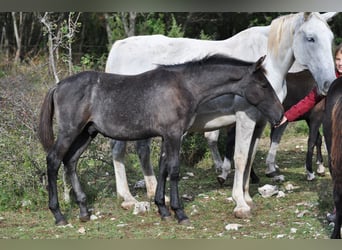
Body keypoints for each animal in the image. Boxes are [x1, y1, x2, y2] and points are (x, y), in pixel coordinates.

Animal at [106, 12, 334, 218]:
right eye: (311, 38)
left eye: (331, 38)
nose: (329, 84)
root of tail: (118, 47)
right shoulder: (245, 118)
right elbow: (240, 157)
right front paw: (240, 203)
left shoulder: (260, 122)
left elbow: (250, 156)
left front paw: (247, 196)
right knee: (119, 152)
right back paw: (128, 198)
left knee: (141, 151)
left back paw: (153, 193)